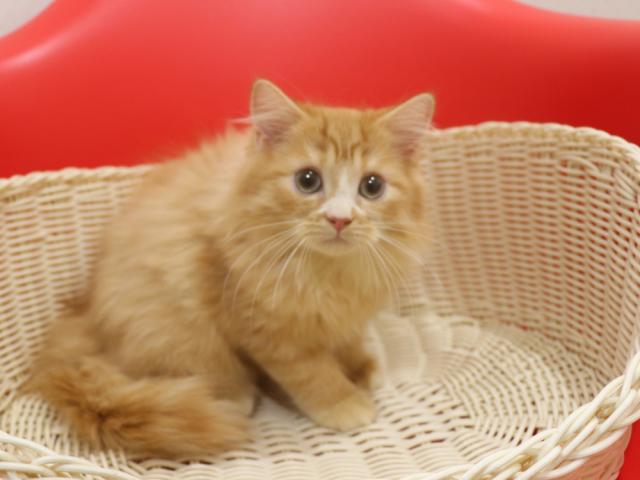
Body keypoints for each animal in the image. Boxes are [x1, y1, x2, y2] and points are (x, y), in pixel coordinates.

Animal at [30, 79, 434, 458]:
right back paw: (236, 395)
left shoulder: (346, 314)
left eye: (372, 186)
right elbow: (313, 373)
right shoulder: (266, 330)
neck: (328, 274)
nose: (339, 219)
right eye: (308, 180)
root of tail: (84, 319)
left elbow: (347, 341)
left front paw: (360, 368)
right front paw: (344, 402)